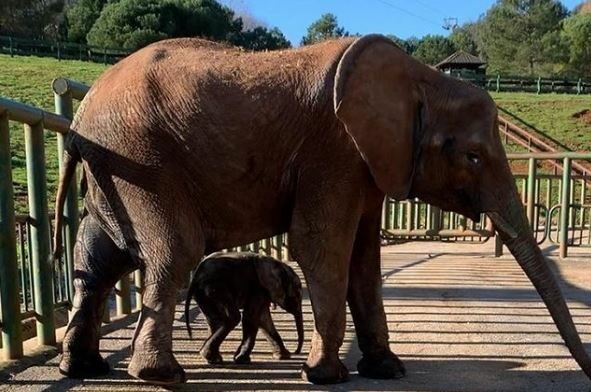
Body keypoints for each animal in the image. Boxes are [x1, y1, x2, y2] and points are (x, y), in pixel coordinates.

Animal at [54, 35, 591, 384]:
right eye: (474, 156)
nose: (584, 369)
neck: (420, 77)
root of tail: (81, 116)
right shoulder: (333, 150)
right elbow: (322, 247)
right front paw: (327, 375)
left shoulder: (369, 162)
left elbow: (364, 260)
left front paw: (387, 370)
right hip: (142, 160)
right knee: (173, 253)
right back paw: (161, 375)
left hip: (114, 167)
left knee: (97, 260)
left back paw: (83, 368)